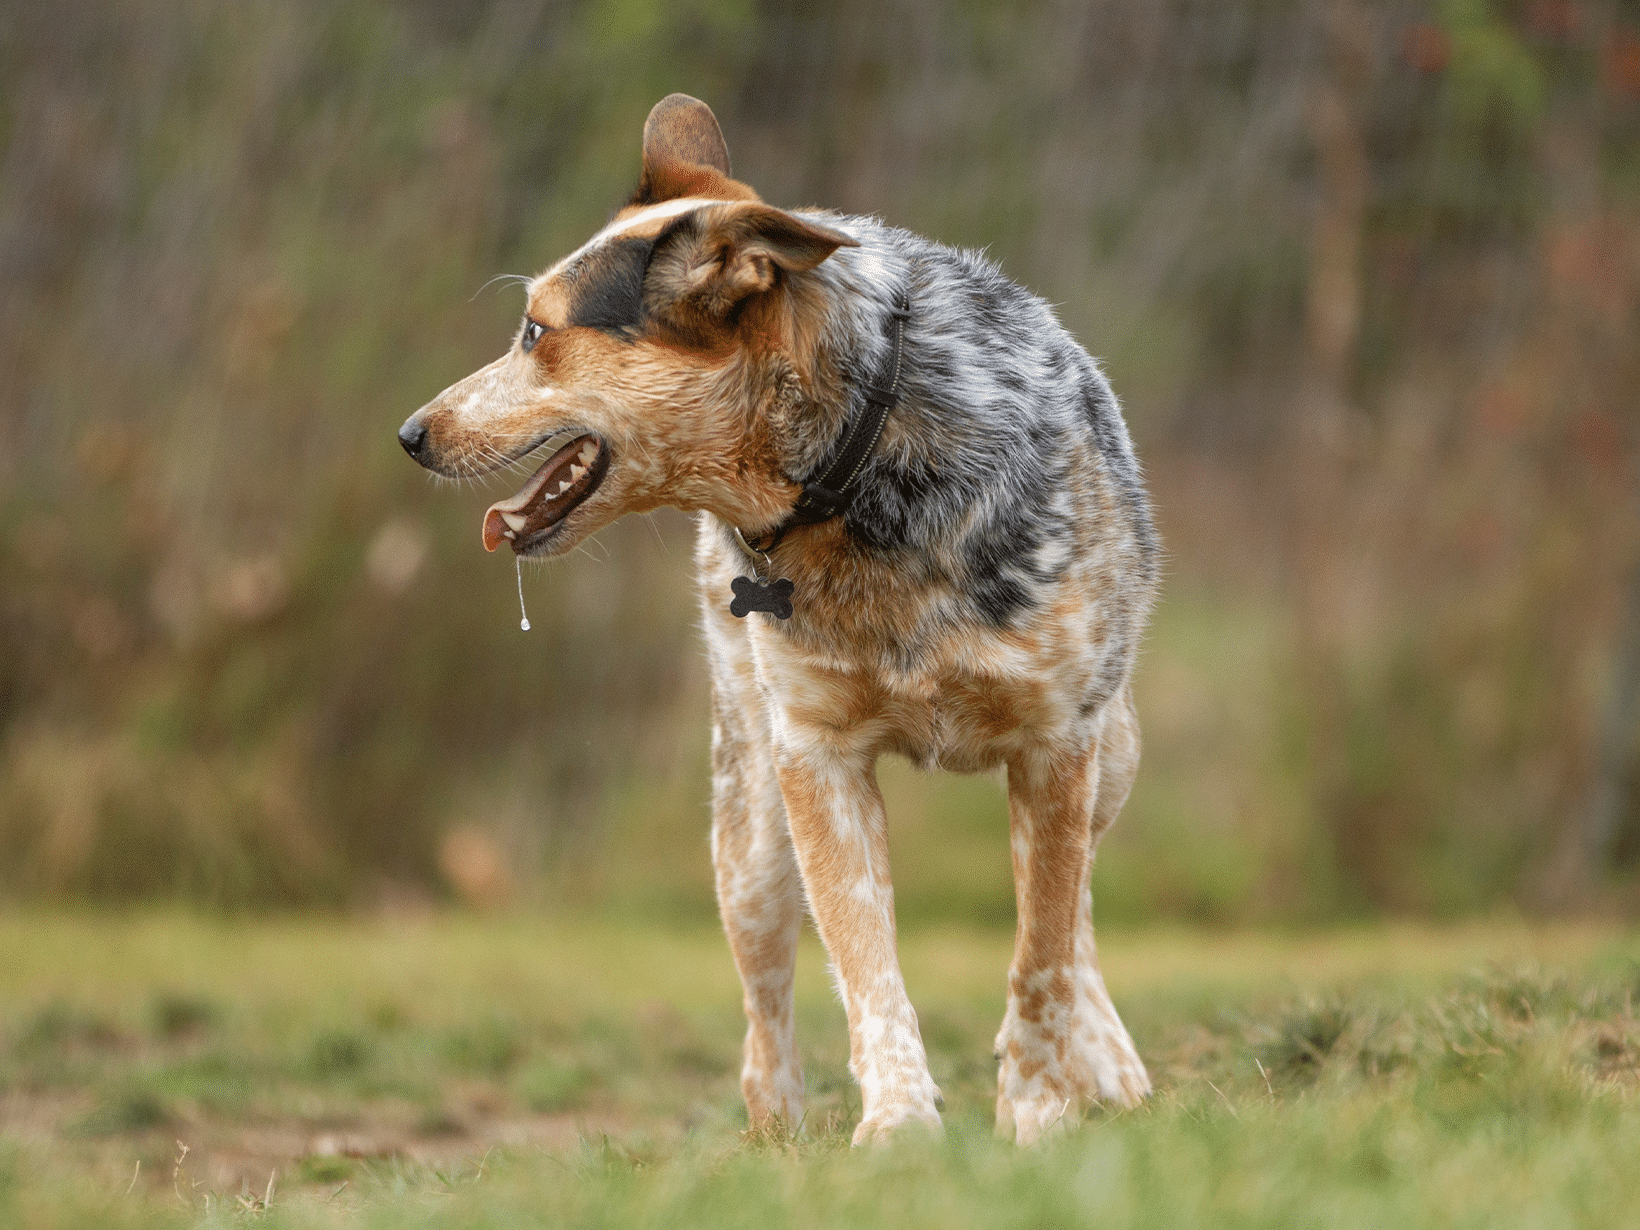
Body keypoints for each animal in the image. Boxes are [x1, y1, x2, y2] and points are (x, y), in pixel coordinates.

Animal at [400, 93, 1154, 1148]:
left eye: (535, 333)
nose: (411, 434)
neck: (858, 475)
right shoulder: (815, 757)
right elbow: (867, 963)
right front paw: (899, 1126)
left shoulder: (1056, 744)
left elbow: (1039, 951)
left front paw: (1039, 1110)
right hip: (749, 825)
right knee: (766, 1000)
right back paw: (778, 1129)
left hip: (1112, 757)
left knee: (1074, 905)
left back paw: (1110, 1070)